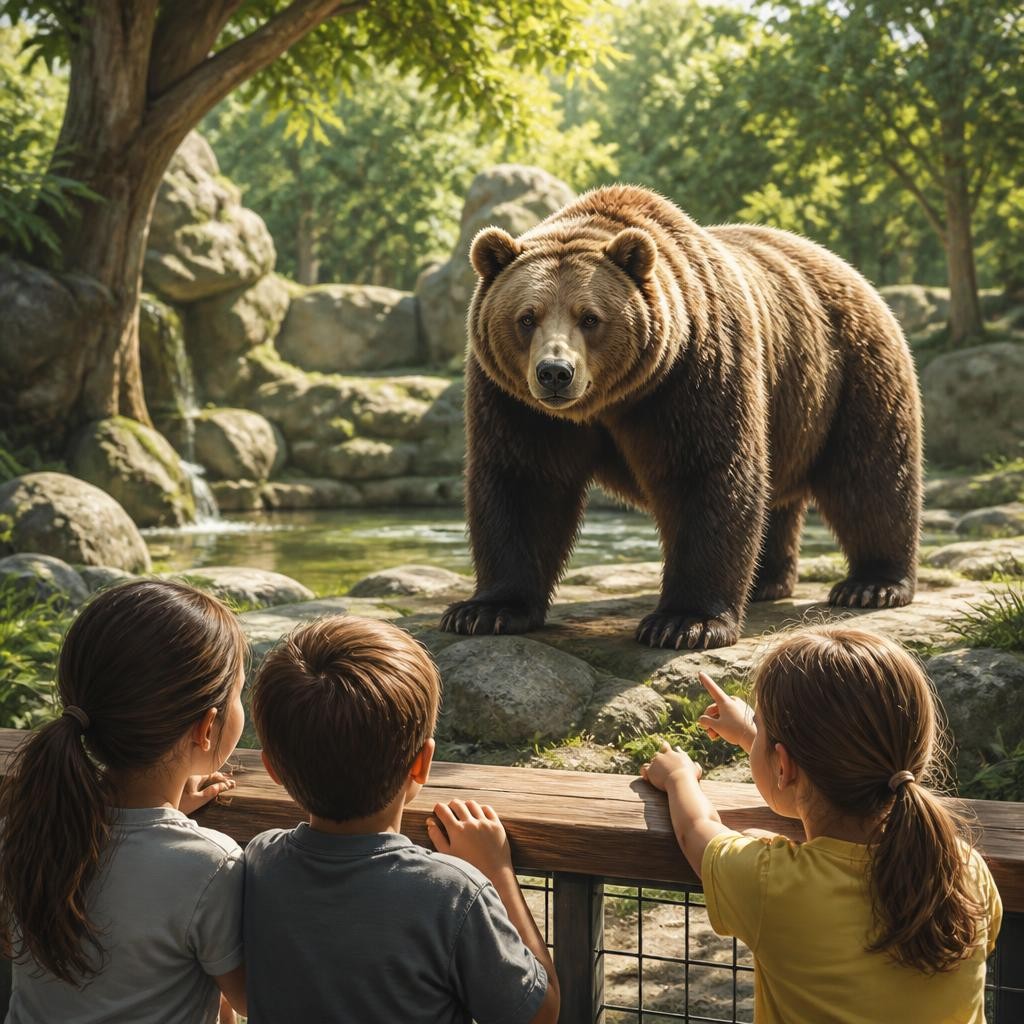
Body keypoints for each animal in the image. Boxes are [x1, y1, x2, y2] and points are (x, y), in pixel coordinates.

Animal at [440, 185, 921, 650]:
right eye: (527, 317)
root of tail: (849, 270)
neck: (611, 401)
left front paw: (685, 623)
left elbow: (704, 473)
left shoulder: (693, 373)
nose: (555, 372)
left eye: (590, 317)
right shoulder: (516, 404)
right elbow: (524, 481)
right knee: (780, 491)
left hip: (847, 374)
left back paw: (872, 584)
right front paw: (484, 610)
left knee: (869, 475)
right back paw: (766, 581)